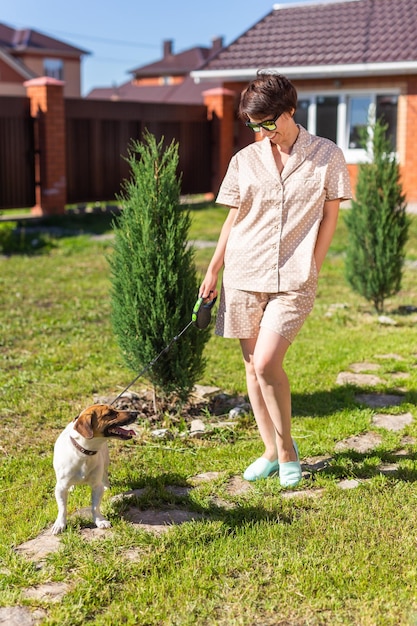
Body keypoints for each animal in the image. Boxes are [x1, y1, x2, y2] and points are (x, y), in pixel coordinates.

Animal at [50, 404, 135, 532]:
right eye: (109, 413)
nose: (135, 413)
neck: (84, 453)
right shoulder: (60, 488)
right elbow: (62, 508)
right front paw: (60, 524)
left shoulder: (96, 486)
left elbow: (95, 507)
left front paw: (100, 521)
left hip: (105, 461)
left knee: (104, 475)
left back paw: (107, 486)